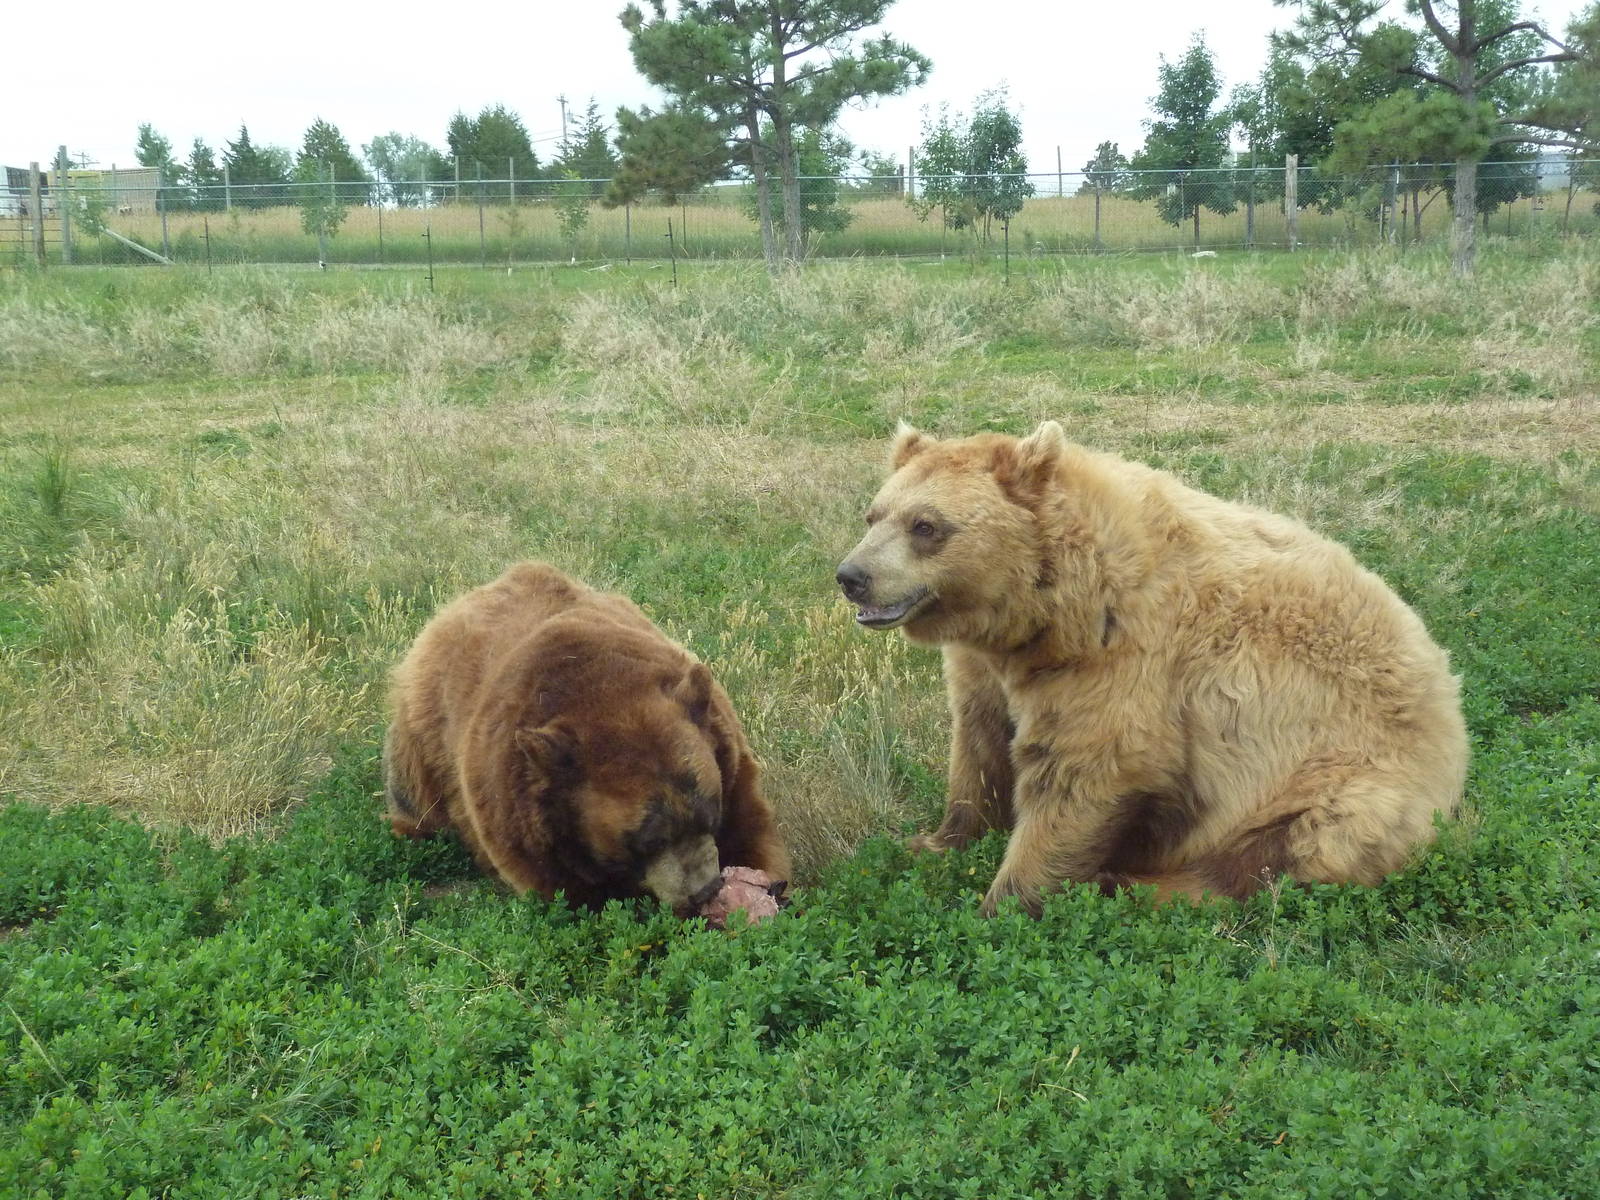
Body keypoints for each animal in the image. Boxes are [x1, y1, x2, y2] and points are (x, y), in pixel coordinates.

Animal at [382, 561, 790, 915]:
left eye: (710, 812)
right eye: (648, 839)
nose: (703, 890)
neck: (600, 688)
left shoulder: (726, 752)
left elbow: (754, 830)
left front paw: (764, 887)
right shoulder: (518, 811)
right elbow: (575, 895)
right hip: (423, 740)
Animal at [836, 421, 1468, 915]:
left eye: (926, 526)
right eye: (873, 514)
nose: (852, 576)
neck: (1044, 613)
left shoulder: (1123, 659)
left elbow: (1085, 769)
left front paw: (1006, 901)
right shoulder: (986, 665)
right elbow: (979, 744)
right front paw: (935, 841)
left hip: (1346, 780)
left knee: (1279, 853)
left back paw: (1132, 883)